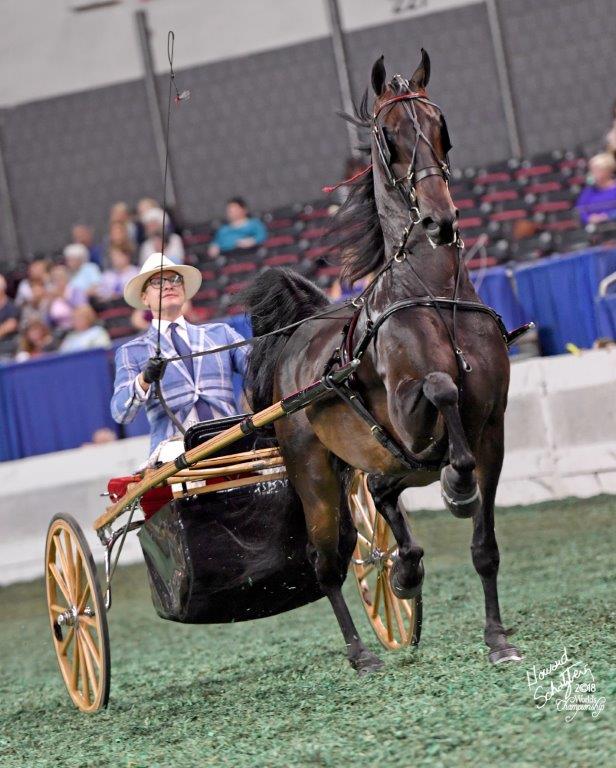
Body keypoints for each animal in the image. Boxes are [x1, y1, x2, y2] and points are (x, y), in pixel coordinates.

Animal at [243, 51, 524, 672]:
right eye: (387, 135)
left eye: (441, 125)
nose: (440, 221)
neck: (433, 294)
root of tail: (296, 341)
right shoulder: (409, 416)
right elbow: (442, 387)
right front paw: (456, 488)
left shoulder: (491, 432)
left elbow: (486, 547)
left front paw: (497, 638)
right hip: (315, 475)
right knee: (326, 562)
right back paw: (360, 651)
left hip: (368, 460)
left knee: (380, 491)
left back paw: (405, 569)